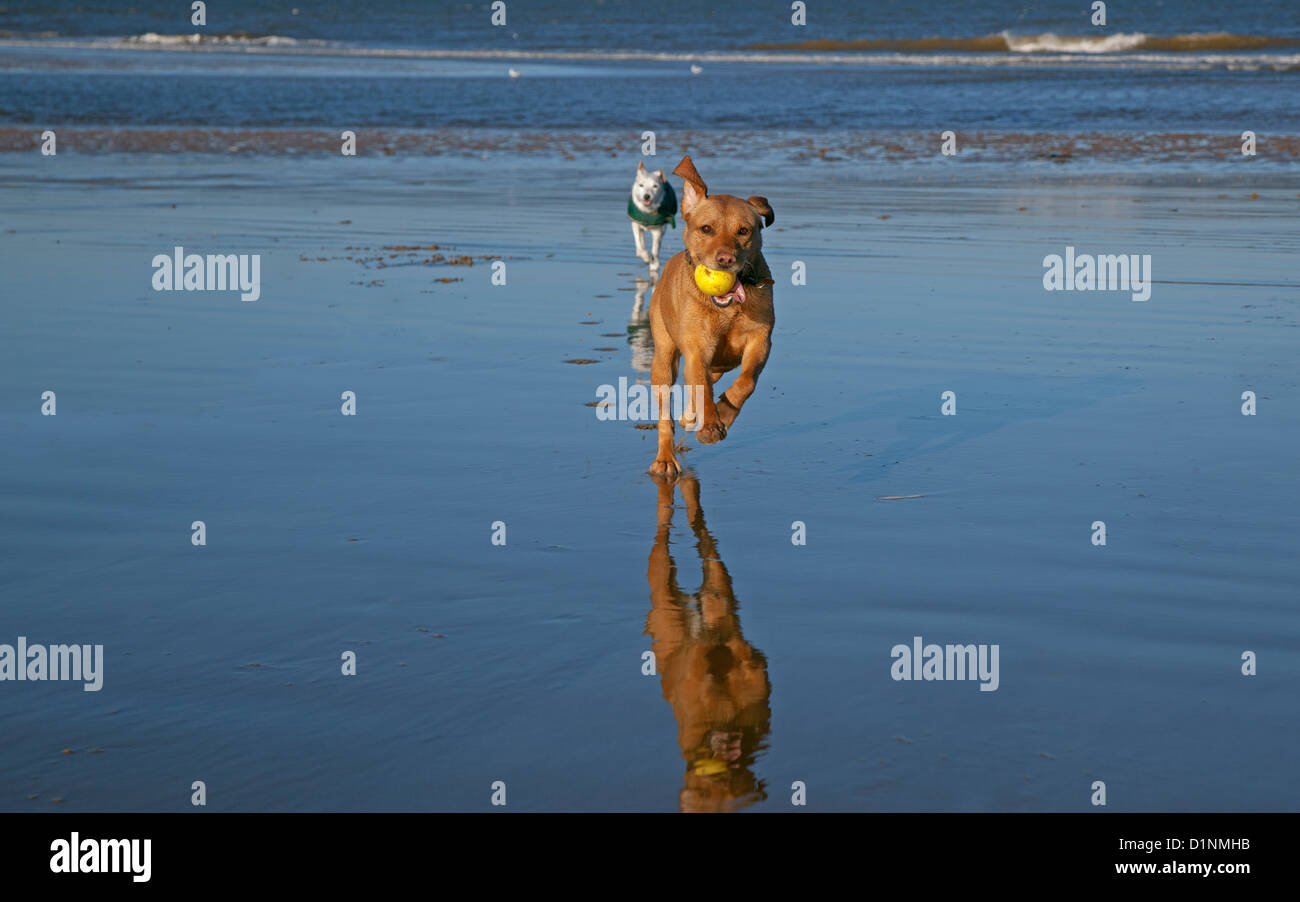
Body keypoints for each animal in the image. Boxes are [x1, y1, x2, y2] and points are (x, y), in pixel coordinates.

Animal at [647, 155, 769, 480]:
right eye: (706, 229)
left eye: (744, 231)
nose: (726, 259)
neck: (726, 309)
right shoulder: (697, 349)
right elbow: (701, 386)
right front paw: (711, 424)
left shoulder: (760, 339)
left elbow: (746, 382)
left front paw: (724, 413)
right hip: (663, 358)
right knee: (666, 414)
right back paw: (666, 459)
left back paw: (693, 417)